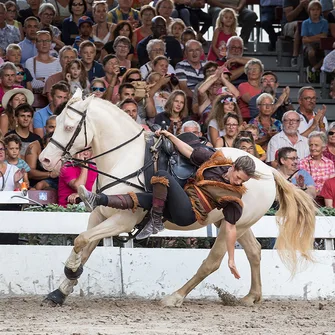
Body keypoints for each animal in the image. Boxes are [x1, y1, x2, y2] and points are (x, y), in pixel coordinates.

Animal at [40, 92, 318, 308]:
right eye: (57, 122)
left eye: (68, 127)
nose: (45, 160)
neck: (124, 158)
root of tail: (268, 170)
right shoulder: (100, 214)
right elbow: (85, 245)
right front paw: (61, 290)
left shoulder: (122, 220)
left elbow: (81, 240)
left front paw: (71, 271)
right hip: (233, 223)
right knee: (255, 251)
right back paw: (251, 296)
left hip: (234, 225)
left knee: (213, 262)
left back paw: (175, 297)